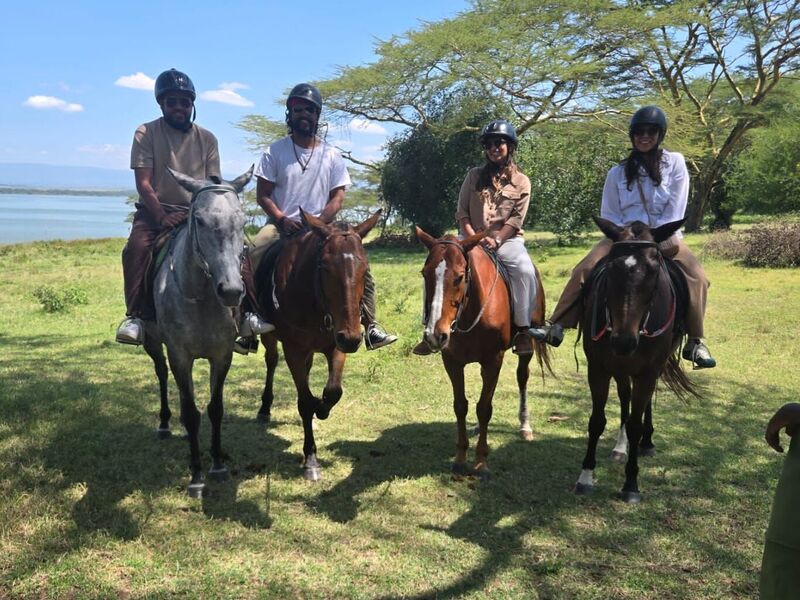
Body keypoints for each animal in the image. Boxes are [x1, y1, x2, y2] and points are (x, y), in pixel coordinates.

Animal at [142, 166, 252, 498]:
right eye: (199, 221)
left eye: (242, 221)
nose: (231, 291)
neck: (202, 296)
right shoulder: (180, 355)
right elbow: (192, 413)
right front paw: (197, 475)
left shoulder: (222, 354)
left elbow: (215, 409)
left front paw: (216, 465)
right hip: (153, 343)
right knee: (162, 375)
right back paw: (165, 424)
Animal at [254, 210, 382, 481]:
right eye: (324, 266)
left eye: (364, 268)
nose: (352, 338)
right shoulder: (293, 349)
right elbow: (304, 401)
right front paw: (310, 459)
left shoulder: (337, 345)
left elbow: (333, 391)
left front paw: (321, 409)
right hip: (270, 338)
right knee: (271, 361)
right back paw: (264, 408)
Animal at [415, 227, 551, 480]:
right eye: (424, 274)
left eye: (459, 276)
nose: (435, 335)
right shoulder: (452, 362)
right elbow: (461, 406)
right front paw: (460, 459)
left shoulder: (493, 360)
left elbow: (484, 408)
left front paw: (480, 463)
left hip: (525, 349)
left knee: (522, 378)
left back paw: (525, 425)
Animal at [575, 216, 698, 503]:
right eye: (611, 267)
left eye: (654, 270)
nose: (623, 341)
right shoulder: (598, 368)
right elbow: (597, 421)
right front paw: (586, 476)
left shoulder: (648, 371)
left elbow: (636, 424)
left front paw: (631, 484)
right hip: (620, 367)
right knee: (625, 397)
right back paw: (621, 447)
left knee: (643, 405)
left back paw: (646, 442)